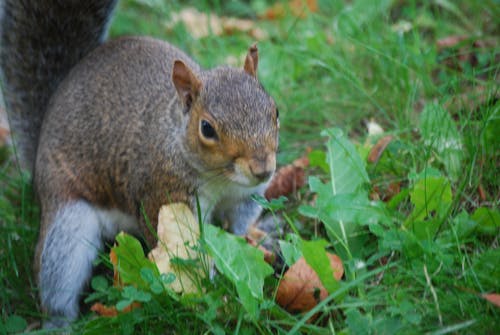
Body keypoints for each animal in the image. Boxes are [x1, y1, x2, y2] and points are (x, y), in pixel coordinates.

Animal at [0, 0, 278, 330]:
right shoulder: (162, 197)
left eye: (274, 110)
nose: (262, 169)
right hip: (66, 225)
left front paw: (256, 242)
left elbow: (237, 228)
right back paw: (59, 323)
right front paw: (211, 287)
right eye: (207, 129)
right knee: (57, 278)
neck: (220, 179)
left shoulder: (244, 196)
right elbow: (181, 252)